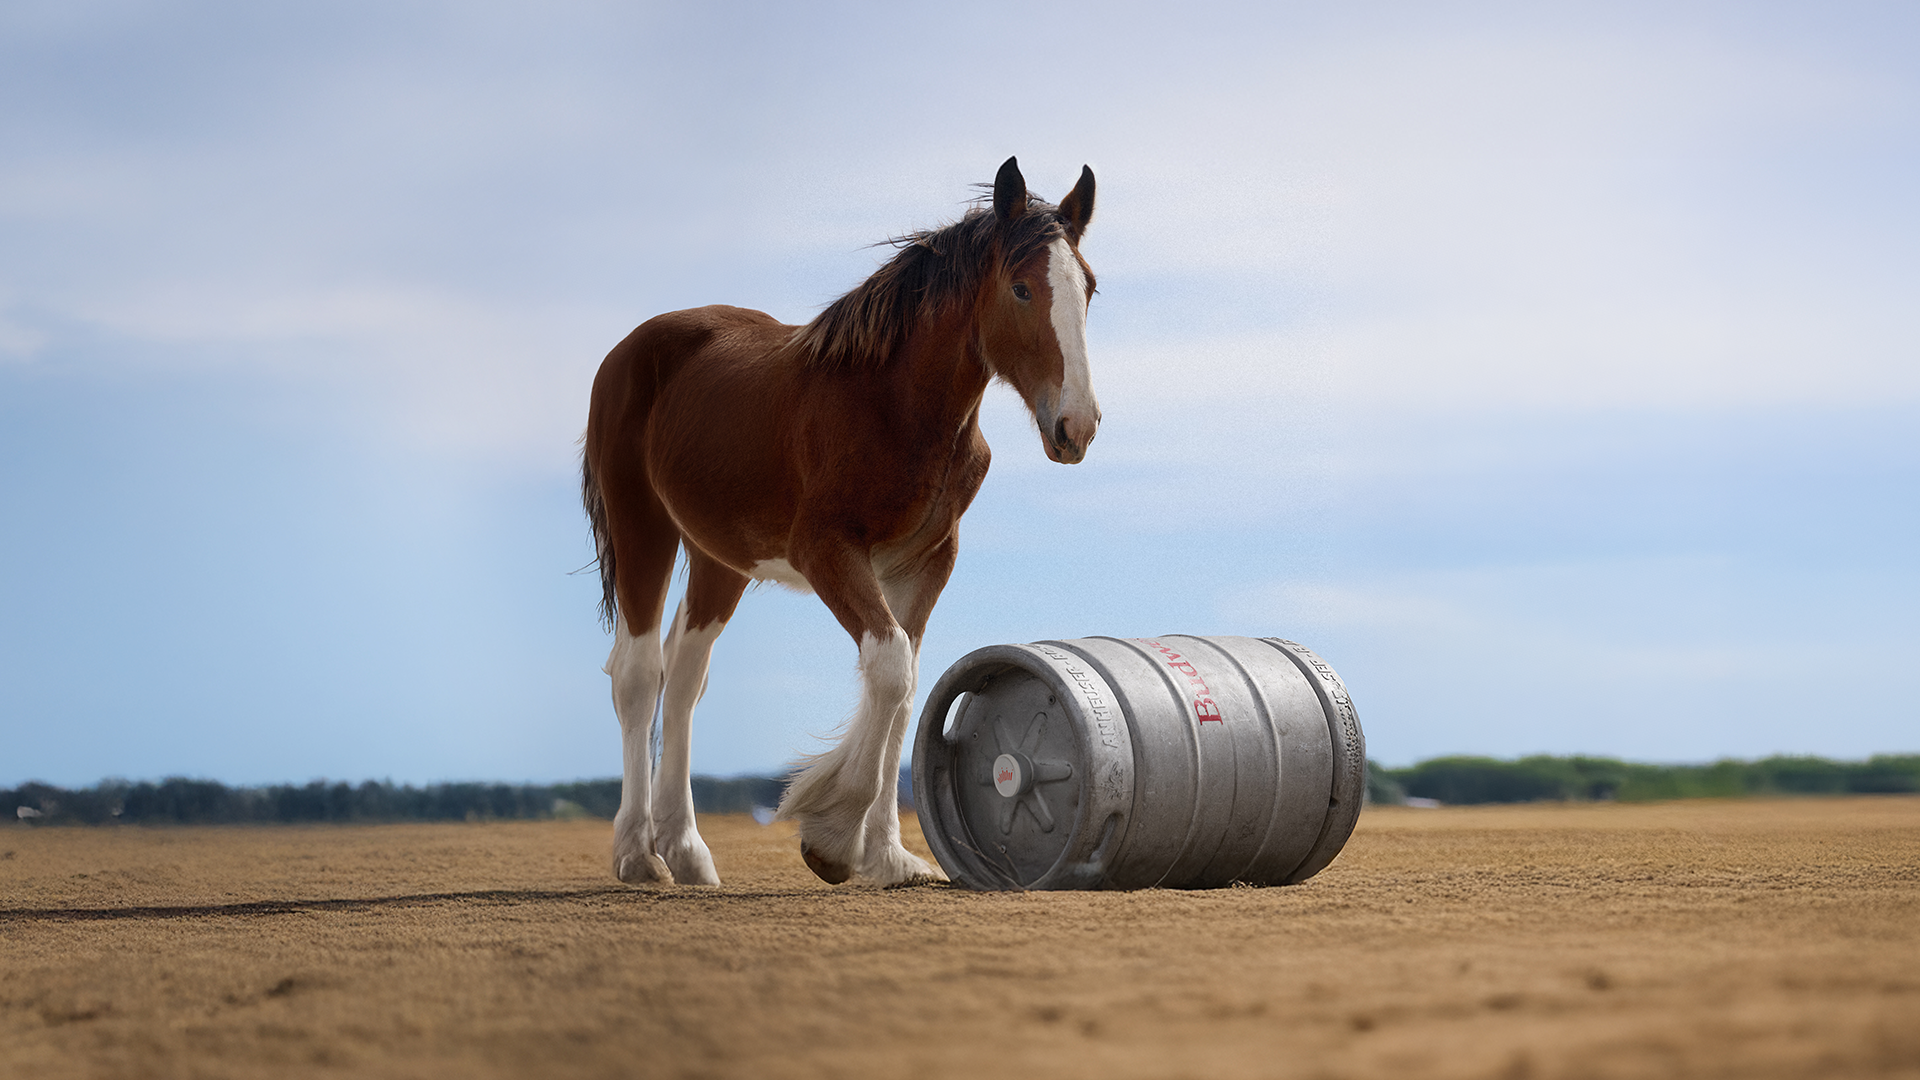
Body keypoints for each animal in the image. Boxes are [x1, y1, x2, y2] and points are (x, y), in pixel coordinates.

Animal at [581, 156, 1099, 887]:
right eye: (1022, 289)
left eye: (1089, 290)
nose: (1076, 426)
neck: (893, 404)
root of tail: (630, 350)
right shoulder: (826, 552)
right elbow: (889, 668)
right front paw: (832, 833)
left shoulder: (926, 562)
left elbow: (906, 689)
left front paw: (888, 855)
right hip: (642, 527)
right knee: (638, 674)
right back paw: (637, 853)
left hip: (720, 558)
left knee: (683, 679)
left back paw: (686, 849)